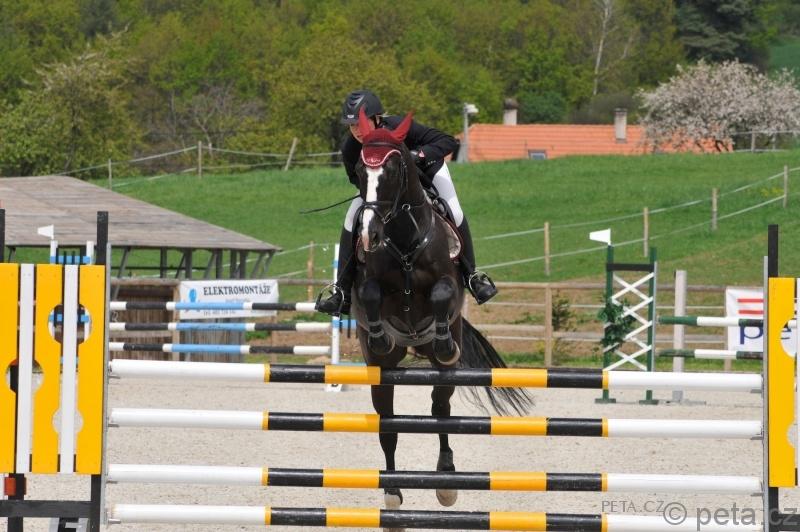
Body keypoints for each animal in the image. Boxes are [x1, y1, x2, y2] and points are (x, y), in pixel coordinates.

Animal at [347, 108, 533, 528]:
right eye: (361, 172)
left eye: (394, 168)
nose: (368, 235)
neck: (402, 239)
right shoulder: (369, 288)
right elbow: (370, 295)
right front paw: (380, 334)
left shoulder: (447, 285)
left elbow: (441, 294)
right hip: (382, 373)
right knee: (389, 425)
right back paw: (393, 494)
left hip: (442, 369)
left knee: (440, 411)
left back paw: (447, 483)